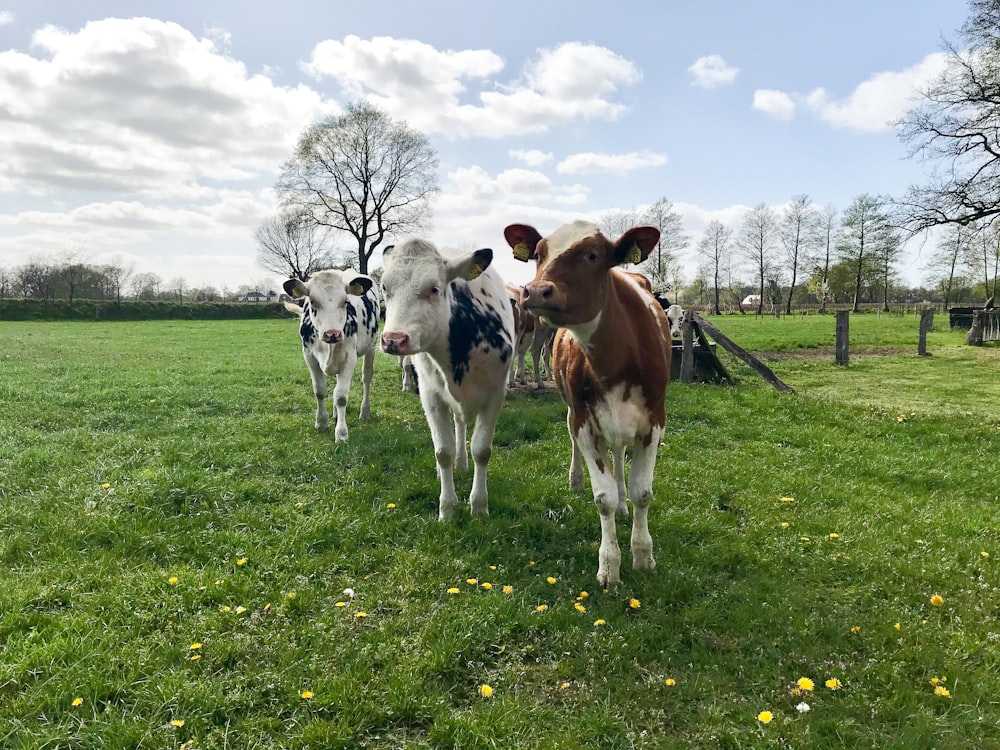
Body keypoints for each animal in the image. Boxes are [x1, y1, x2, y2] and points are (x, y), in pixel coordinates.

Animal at [284, 270, 380, 444]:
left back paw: (365, 412)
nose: (332, 334)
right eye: (312, 301)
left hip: (372, 345)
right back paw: (336, 414)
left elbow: (341, 396)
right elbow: (320, 390)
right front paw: (321, 422)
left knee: (367, 377)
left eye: (345, 301)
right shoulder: (309, 355)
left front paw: (341, 433)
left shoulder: (350, 357)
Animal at [380, 241, 516, 524]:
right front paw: (448, 508)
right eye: (385, 288)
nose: (393, 339)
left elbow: (482, 450)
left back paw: (463, 463)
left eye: (434, 288)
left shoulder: (496, 394)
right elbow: (442, 451)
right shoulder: (431, 397)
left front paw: (479, 505)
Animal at [508, 220, 672, 592]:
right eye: (538, 254)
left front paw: (643, 555)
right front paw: (610, 565)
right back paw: (577, 480)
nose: (535, 292)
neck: (617, 357)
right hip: (574, 410)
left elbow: (642, 491)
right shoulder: (584, 420)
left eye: (592, 255)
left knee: (619, 454)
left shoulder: (654, 421)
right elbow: (603, 496)